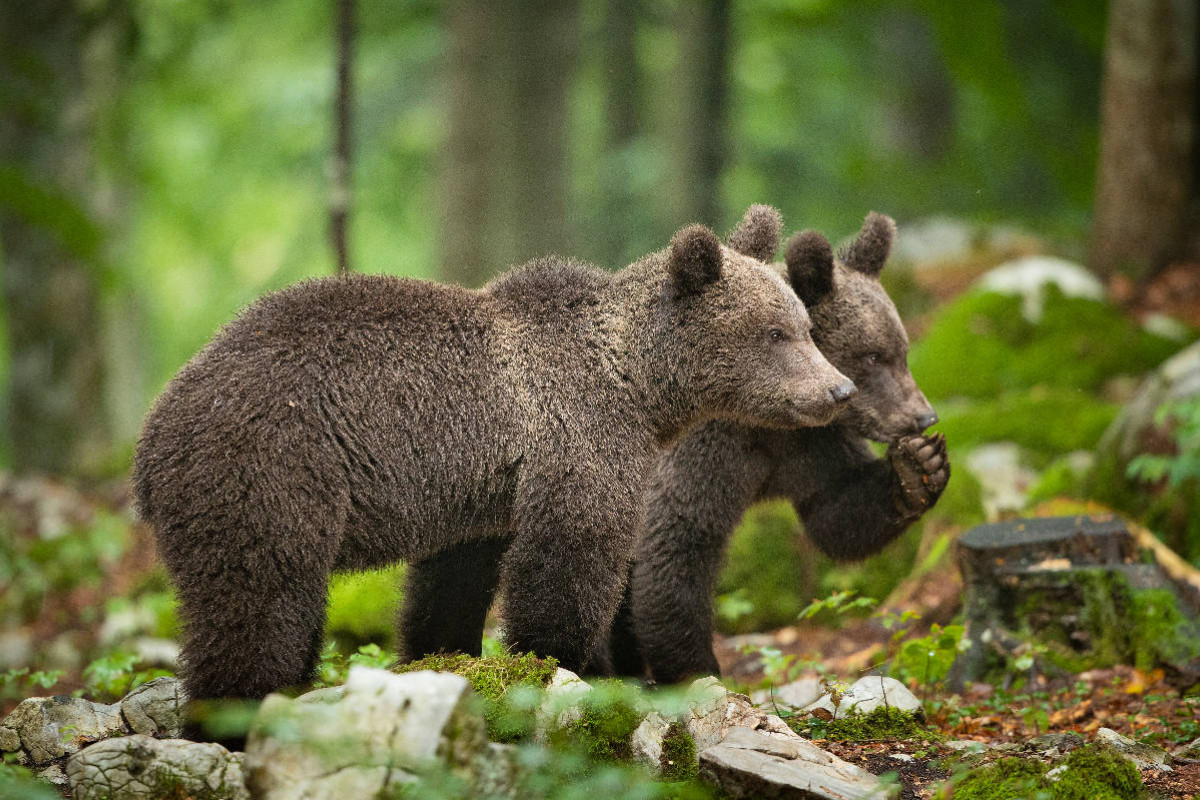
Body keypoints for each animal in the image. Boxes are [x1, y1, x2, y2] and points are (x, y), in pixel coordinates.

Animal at [131, 206, 859, 714]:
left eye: (805, 326)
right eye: (775, 333)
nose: (838, 390)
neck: (638, 383)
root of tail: (151, 438)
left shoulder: (478, 487)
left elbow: (452, 581)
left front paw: (443, 657)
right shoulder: (576, 437)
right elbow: (568, 560)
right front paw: (561, 663)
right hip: (269, 471)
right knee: (256, 601)